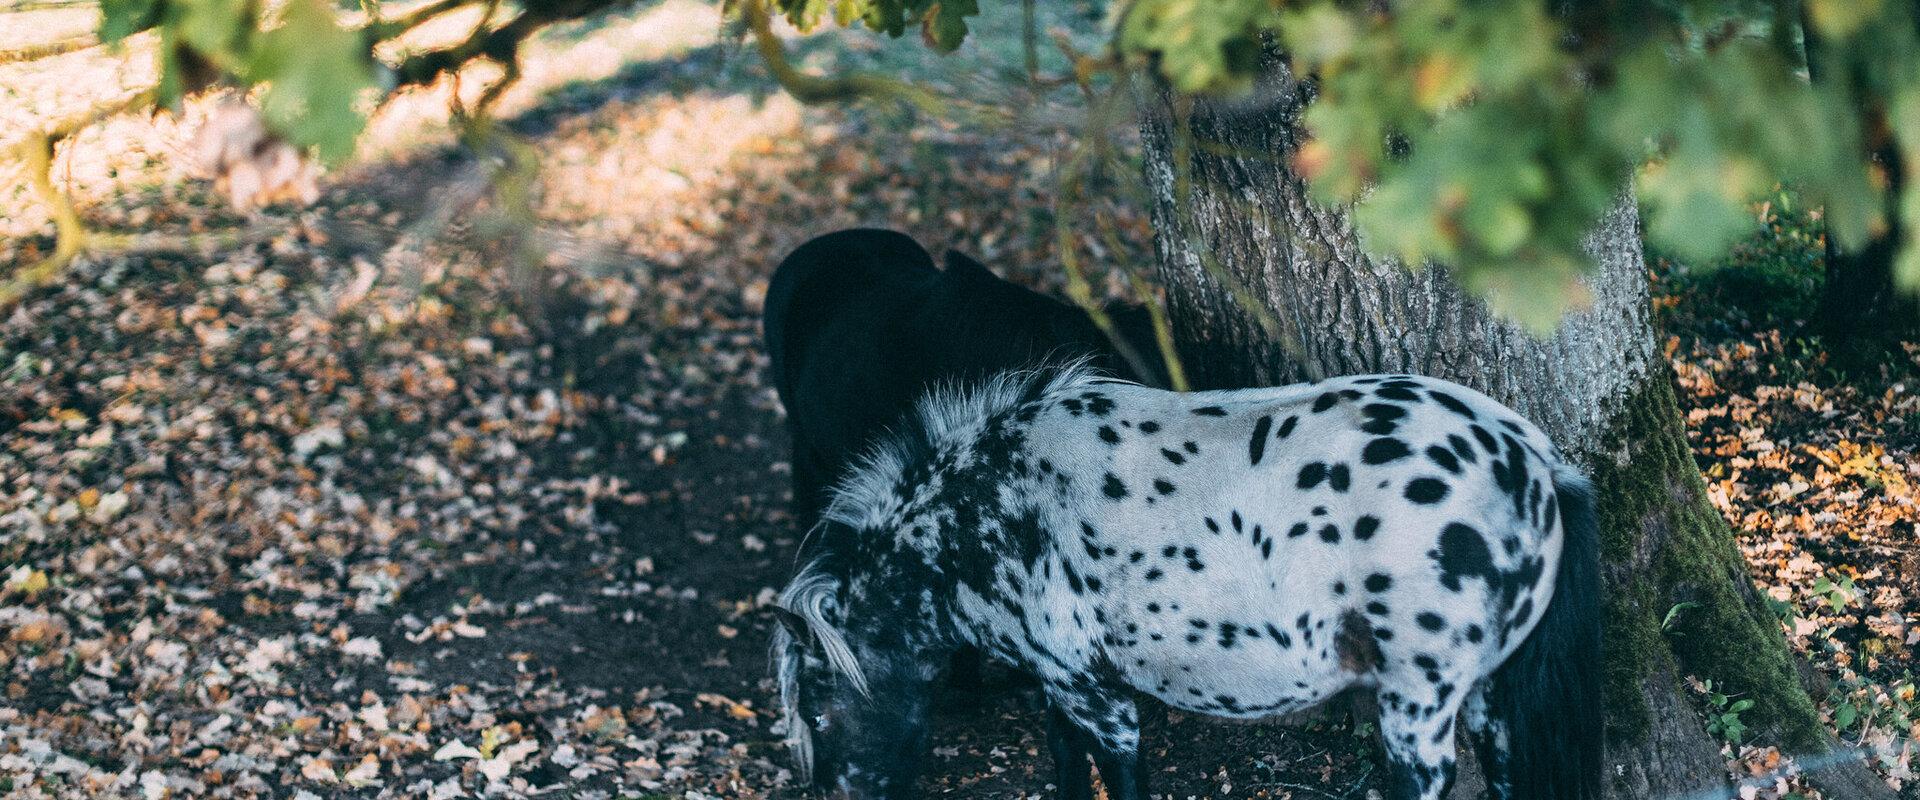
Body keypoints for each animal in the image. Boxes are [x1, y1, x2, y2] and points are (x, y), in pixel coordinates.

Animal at [775, 362, 1605, 798]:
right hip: (1486, 696)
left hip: (1419, 708)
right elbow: (1063, 757)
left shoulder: (1100, 696)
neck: (996, 508)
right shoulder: (1062, 683)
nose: (834, 792)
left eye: (815, 703)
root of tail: (1535, 464)